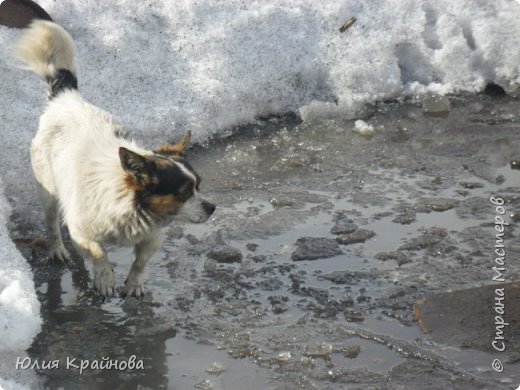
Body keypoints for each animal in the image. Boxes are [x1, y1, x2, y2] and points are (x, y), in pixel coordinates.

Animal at [13, 22, 215, 298]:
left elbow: (141, 261)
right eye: (184, 193)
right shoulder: (83, 230)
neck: (131, 203)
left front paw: (134, 283)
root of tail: (66, 97)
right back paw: (57, 249)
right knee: (52, 223)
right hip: (47, 189)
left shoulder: (153, 236)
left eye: (199, 185)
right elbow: (99, 252)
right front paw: (105, 277)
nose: (212, 207)